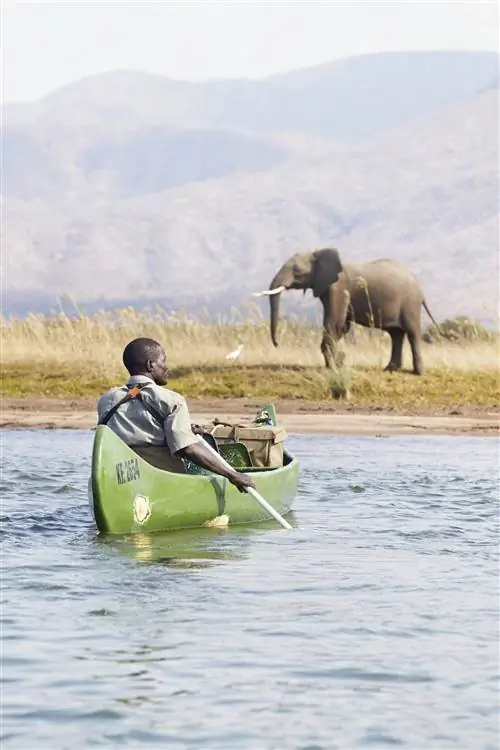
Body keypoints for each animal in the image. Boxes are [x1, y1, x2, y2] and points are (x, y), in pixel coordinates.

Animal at [254, 248, 442, 375]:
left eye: (297, 271)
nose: (277, 344)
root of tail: (419, 287)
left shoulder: (338, 289)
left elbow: (334, 321)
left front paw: (333, 367)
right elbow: (341, 325)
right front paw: (338, 363)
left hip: (410, 303)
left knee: (412, 332)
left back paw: (418, 373)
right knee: (396, 334)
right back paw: (389, 370)